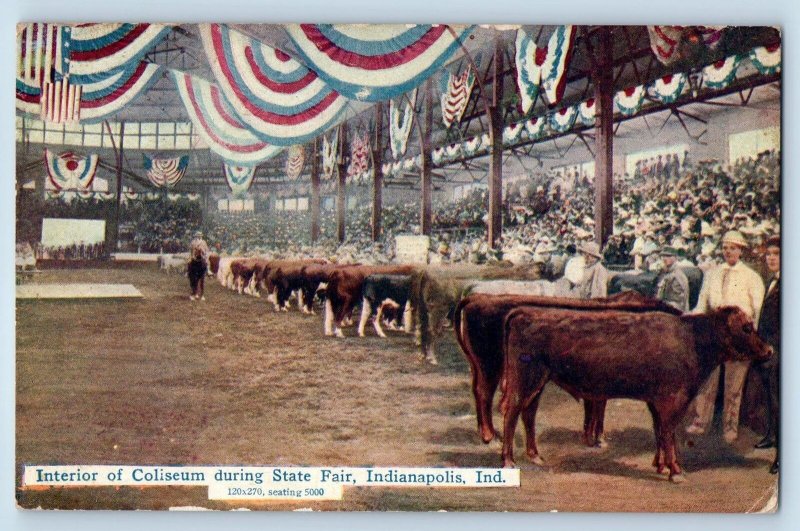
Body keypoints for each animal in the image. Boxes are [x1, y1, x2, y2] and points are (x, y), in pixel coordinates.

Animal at [454, 294, 680, 446]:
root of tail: (479, 298)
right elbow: (599, 406)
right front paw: (597, 439)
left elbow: (595, 406)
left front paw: (591, 437)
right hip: (490, 365)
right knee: (485, 394)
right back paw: (489, 435)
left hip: (479, 366)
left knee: (477, 391)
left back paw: (486, 433)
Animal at [504, 306, 772, 484]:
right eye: (747, 328)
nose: (769, 350)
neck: (691, 339)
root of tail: (525, 313)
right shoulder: (672, 401)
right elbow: (668, 434)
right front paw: (676, 471)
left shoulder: (656, 402)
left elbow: (660, 433)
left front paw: (661, 466)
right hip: (526, 381)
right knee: (511, 413)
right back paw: (509, 461)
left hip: (537, 384)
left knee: (528, 415)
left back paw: (535, 456)